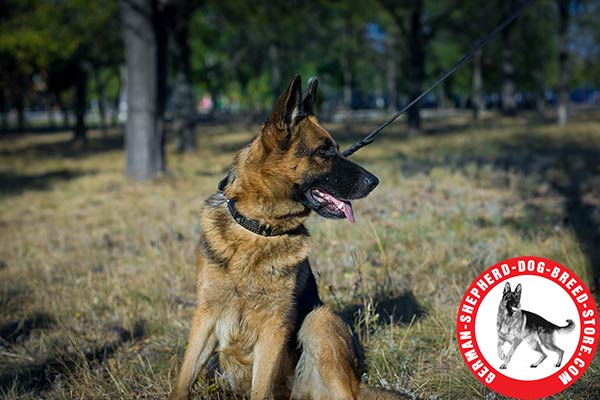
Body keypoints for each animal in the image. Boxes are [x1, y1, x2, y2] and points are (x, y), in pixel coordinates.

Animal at [170, 76, 408, 400]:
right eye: (324, 152)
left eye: (335, 149)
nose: (375, 181)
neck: (259, 229)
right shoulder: (205, 320)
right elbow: (183, 381)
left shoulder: (274, 329)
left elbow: (260, 391)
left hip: (320, 320)